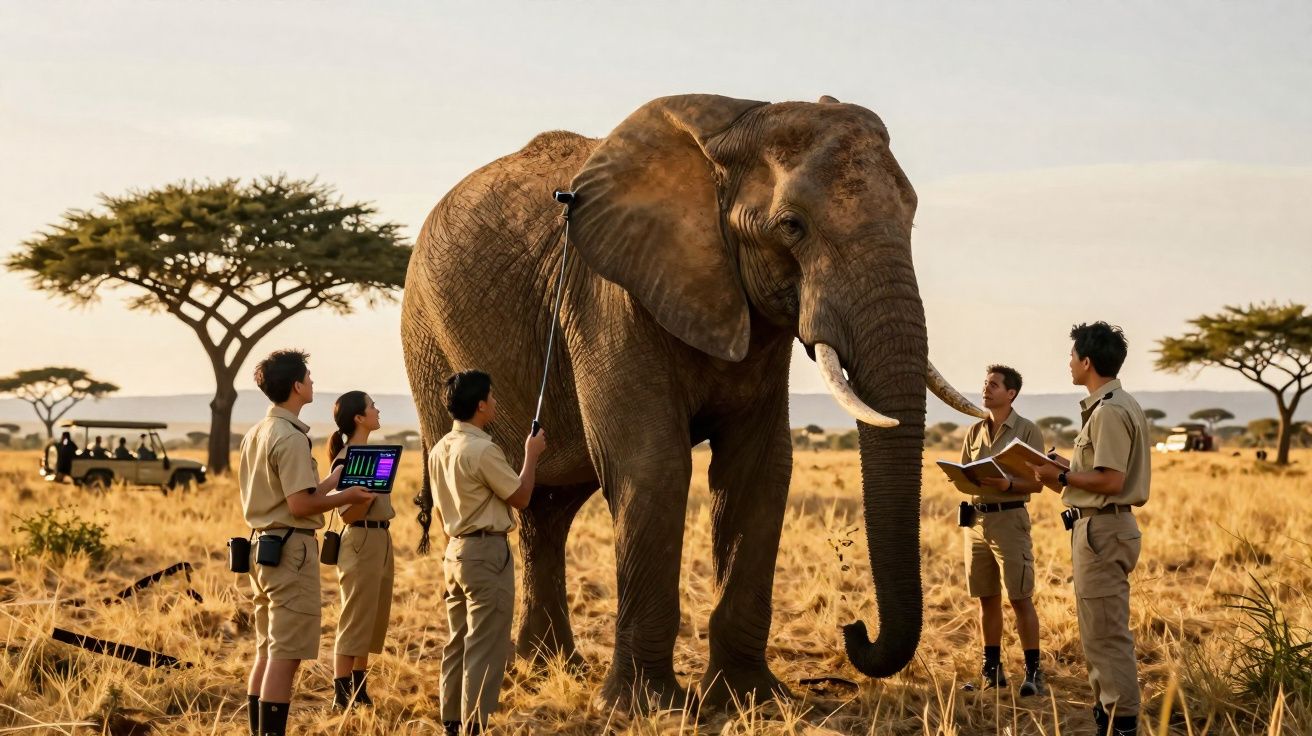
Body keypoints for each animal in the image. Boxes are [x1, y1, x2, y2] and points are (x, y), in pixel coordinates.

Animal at [402, 93, 984, 710]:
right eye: (792, 226)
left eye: (911, 216)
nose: (854, 628)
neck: (736, 127)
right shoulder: (608, 296)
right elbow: (653, 466)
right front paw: (645, 706)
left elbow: (759, 470)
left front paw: (752, 698)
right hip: (427, 342)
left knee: (546, 511)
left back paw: (548, 668)